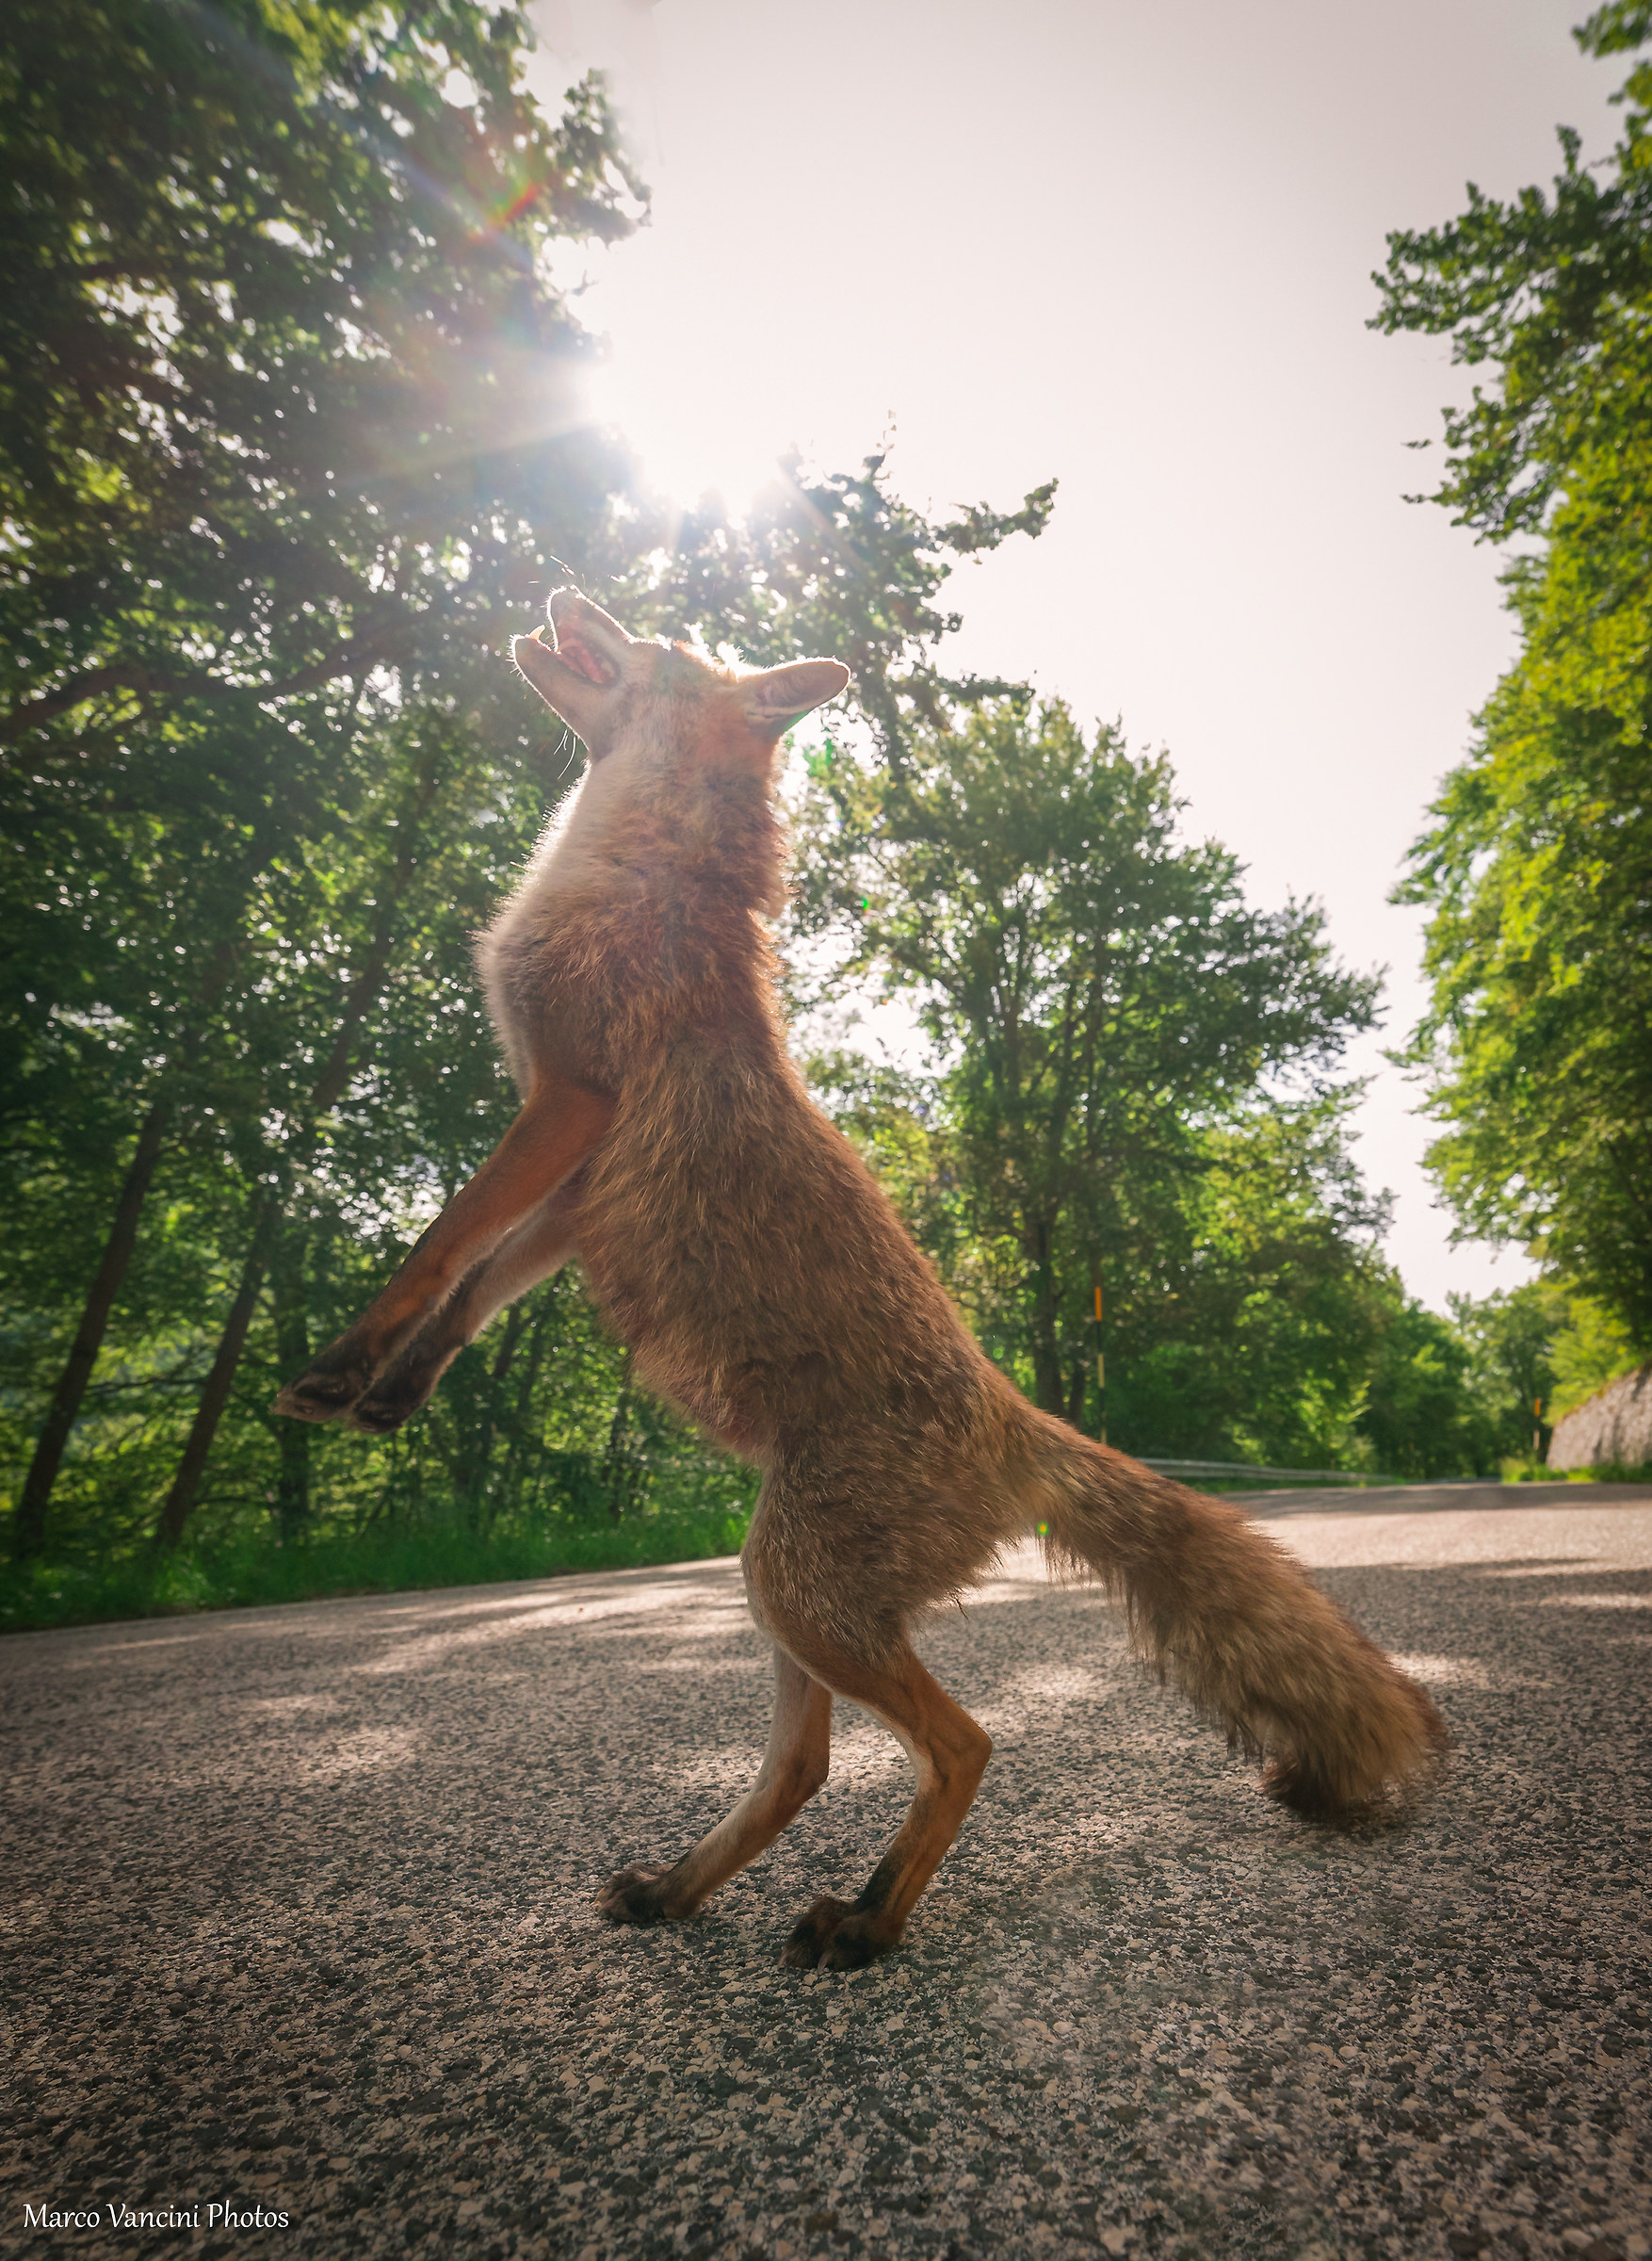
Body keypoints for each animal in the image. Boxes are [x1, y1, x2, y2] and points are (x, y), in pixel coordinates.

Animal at [275, 588, 1447, 1970]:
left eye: (653, 642)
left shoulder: (572, 1104)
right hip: (785, 1597)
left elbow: (437, 1244)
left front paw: (335, 1373)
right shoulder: (575, 1192)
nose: (562, 592)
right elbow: (469, 1291)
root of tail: (1012, 1413)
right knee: (804, 1772)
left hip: (797, 1592)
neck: (627, 875)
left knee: (964, 1745)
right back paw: (683, 1891)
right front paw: (382, 1393)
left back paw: (872, 1921)